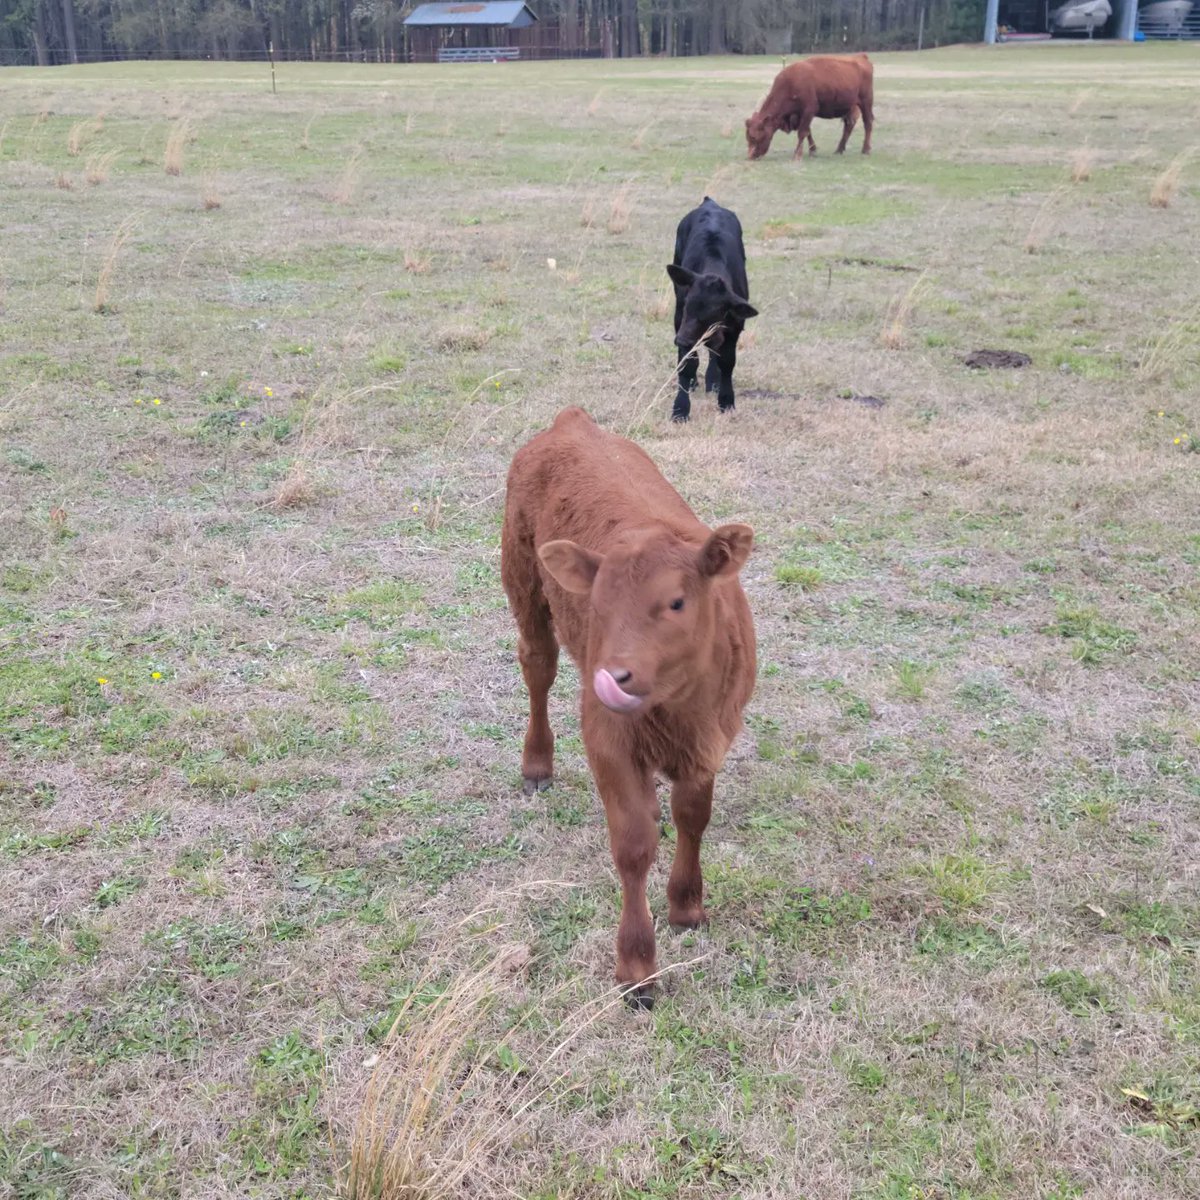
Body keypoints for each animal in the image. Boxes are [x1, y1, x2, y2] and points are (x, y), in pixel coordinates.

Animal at [501, 407, 757, 1009]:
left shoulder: (712, 737)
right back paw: (537, 764)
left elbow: (693, 816)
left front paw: (687, 905)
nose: (611, 676)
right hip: (521, 579)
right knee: (538, 665)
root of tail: (571, 421)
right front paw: (637, 966)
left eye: (678, 602)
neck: (677, 709)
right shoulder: (608, 740)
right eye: (598, 606)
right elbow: (635, 844)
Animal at [667, 198, 757, 423]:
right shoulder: (679, 320)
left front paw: (726, 401)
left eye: (714, 313)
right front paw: (680, 409)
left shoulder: (734, 326)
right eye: (687, 304)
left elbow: (727, 362)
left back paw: (712, 381)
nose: (682, 340)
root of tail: (710, 202)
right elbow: (687, 364)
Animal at [745, 53, 874, 161]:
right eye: (747, 137)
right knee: (848, 126)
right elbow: (808, 132)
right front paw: (813, 150)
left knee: (868, 123)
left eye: (754, 136)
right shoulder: (800, 115)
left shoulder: (809, 110)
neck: (790, 83)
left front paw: (797, 155)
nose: (751, 156)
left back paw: (866, 150)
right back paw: (839, 150)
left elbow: (802, 132)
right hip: (850, 108)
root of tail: (862, 57)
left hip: (865, 103)